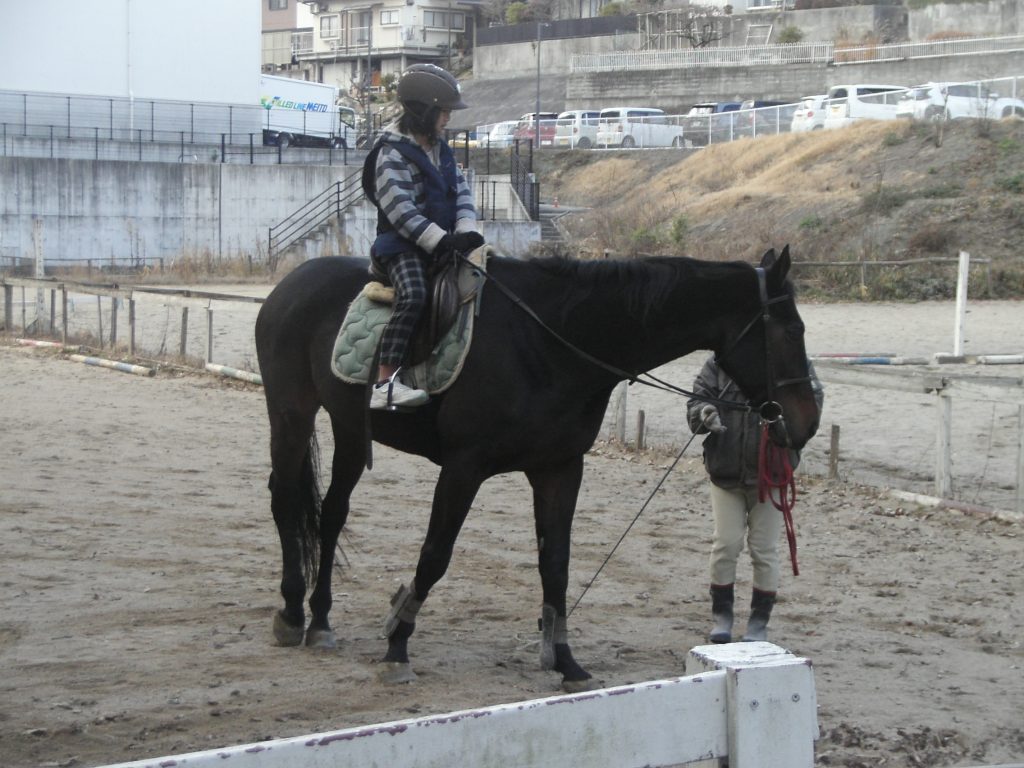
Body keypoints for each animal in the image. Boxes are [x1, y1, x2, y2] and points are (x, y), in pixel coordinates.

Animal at [254, 245, 820, 691]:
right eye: (791, 329)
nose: (808, 422)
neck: (551, 340)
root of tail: (293, 282)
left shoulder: (559, 468)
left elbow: (556, 564)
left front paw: (565, 660)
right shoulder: (464, 467)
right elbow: (435, 555)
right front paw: (397, 643)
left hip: (351, 430)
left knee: (331, 514)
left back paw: (320, 619)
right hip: (291, 414)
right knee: (286, 500)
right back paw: (292, 612)